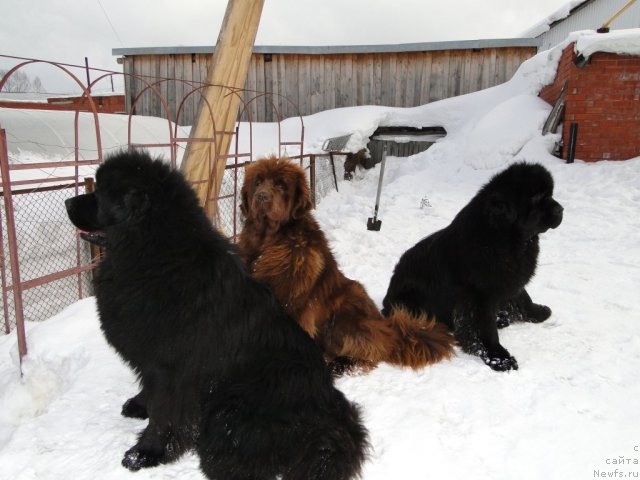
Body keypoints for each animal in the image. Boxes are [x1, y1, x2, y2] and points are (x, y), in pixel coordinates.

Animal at [64, 151, 368, 480]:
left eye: (100, 194)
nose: (67, 202)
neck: (153, 254)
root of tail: (330, 407)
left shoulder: (173, 370)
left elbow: (164, 413)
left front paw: (146, 452)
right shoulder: (152, 360)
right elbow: (149, 390)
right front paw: (139, 405)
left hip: (233, 405)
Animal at [238, 158, 452, 376]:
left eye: (281, 185)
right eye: (258, 182)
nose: (262, 196)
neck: (268, 243)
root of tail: (388, 328)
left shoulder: (293, 303)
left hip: (348, 307)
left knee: (370, 352)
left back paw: (340, 365)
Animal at [382, 163, 564, 374]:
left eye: (550, 194)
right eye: (535, 197)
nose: (561, 209)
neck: (503, 239)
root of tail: (385, 303)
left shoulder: (510, 277)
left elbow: (523, 296)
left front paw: (537, 312)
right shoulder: (479, 296)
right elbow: (486, 328)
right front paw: (499, 358)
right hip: (409, 302)